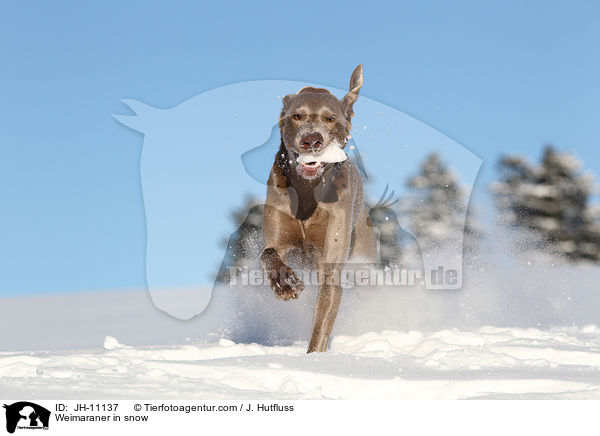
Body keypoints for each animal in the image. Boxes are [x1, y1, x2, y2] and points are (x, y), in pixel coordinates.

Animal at [262, 64, 378, 352]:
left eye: (330, 118)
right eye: (297, 116)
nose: (311, 140)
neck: (307, 190)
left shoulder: (330, 264)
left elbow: (322, 318)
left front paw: (314, 357)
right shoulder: (278, 234)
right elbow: (268, 253)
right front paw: (285, 283)